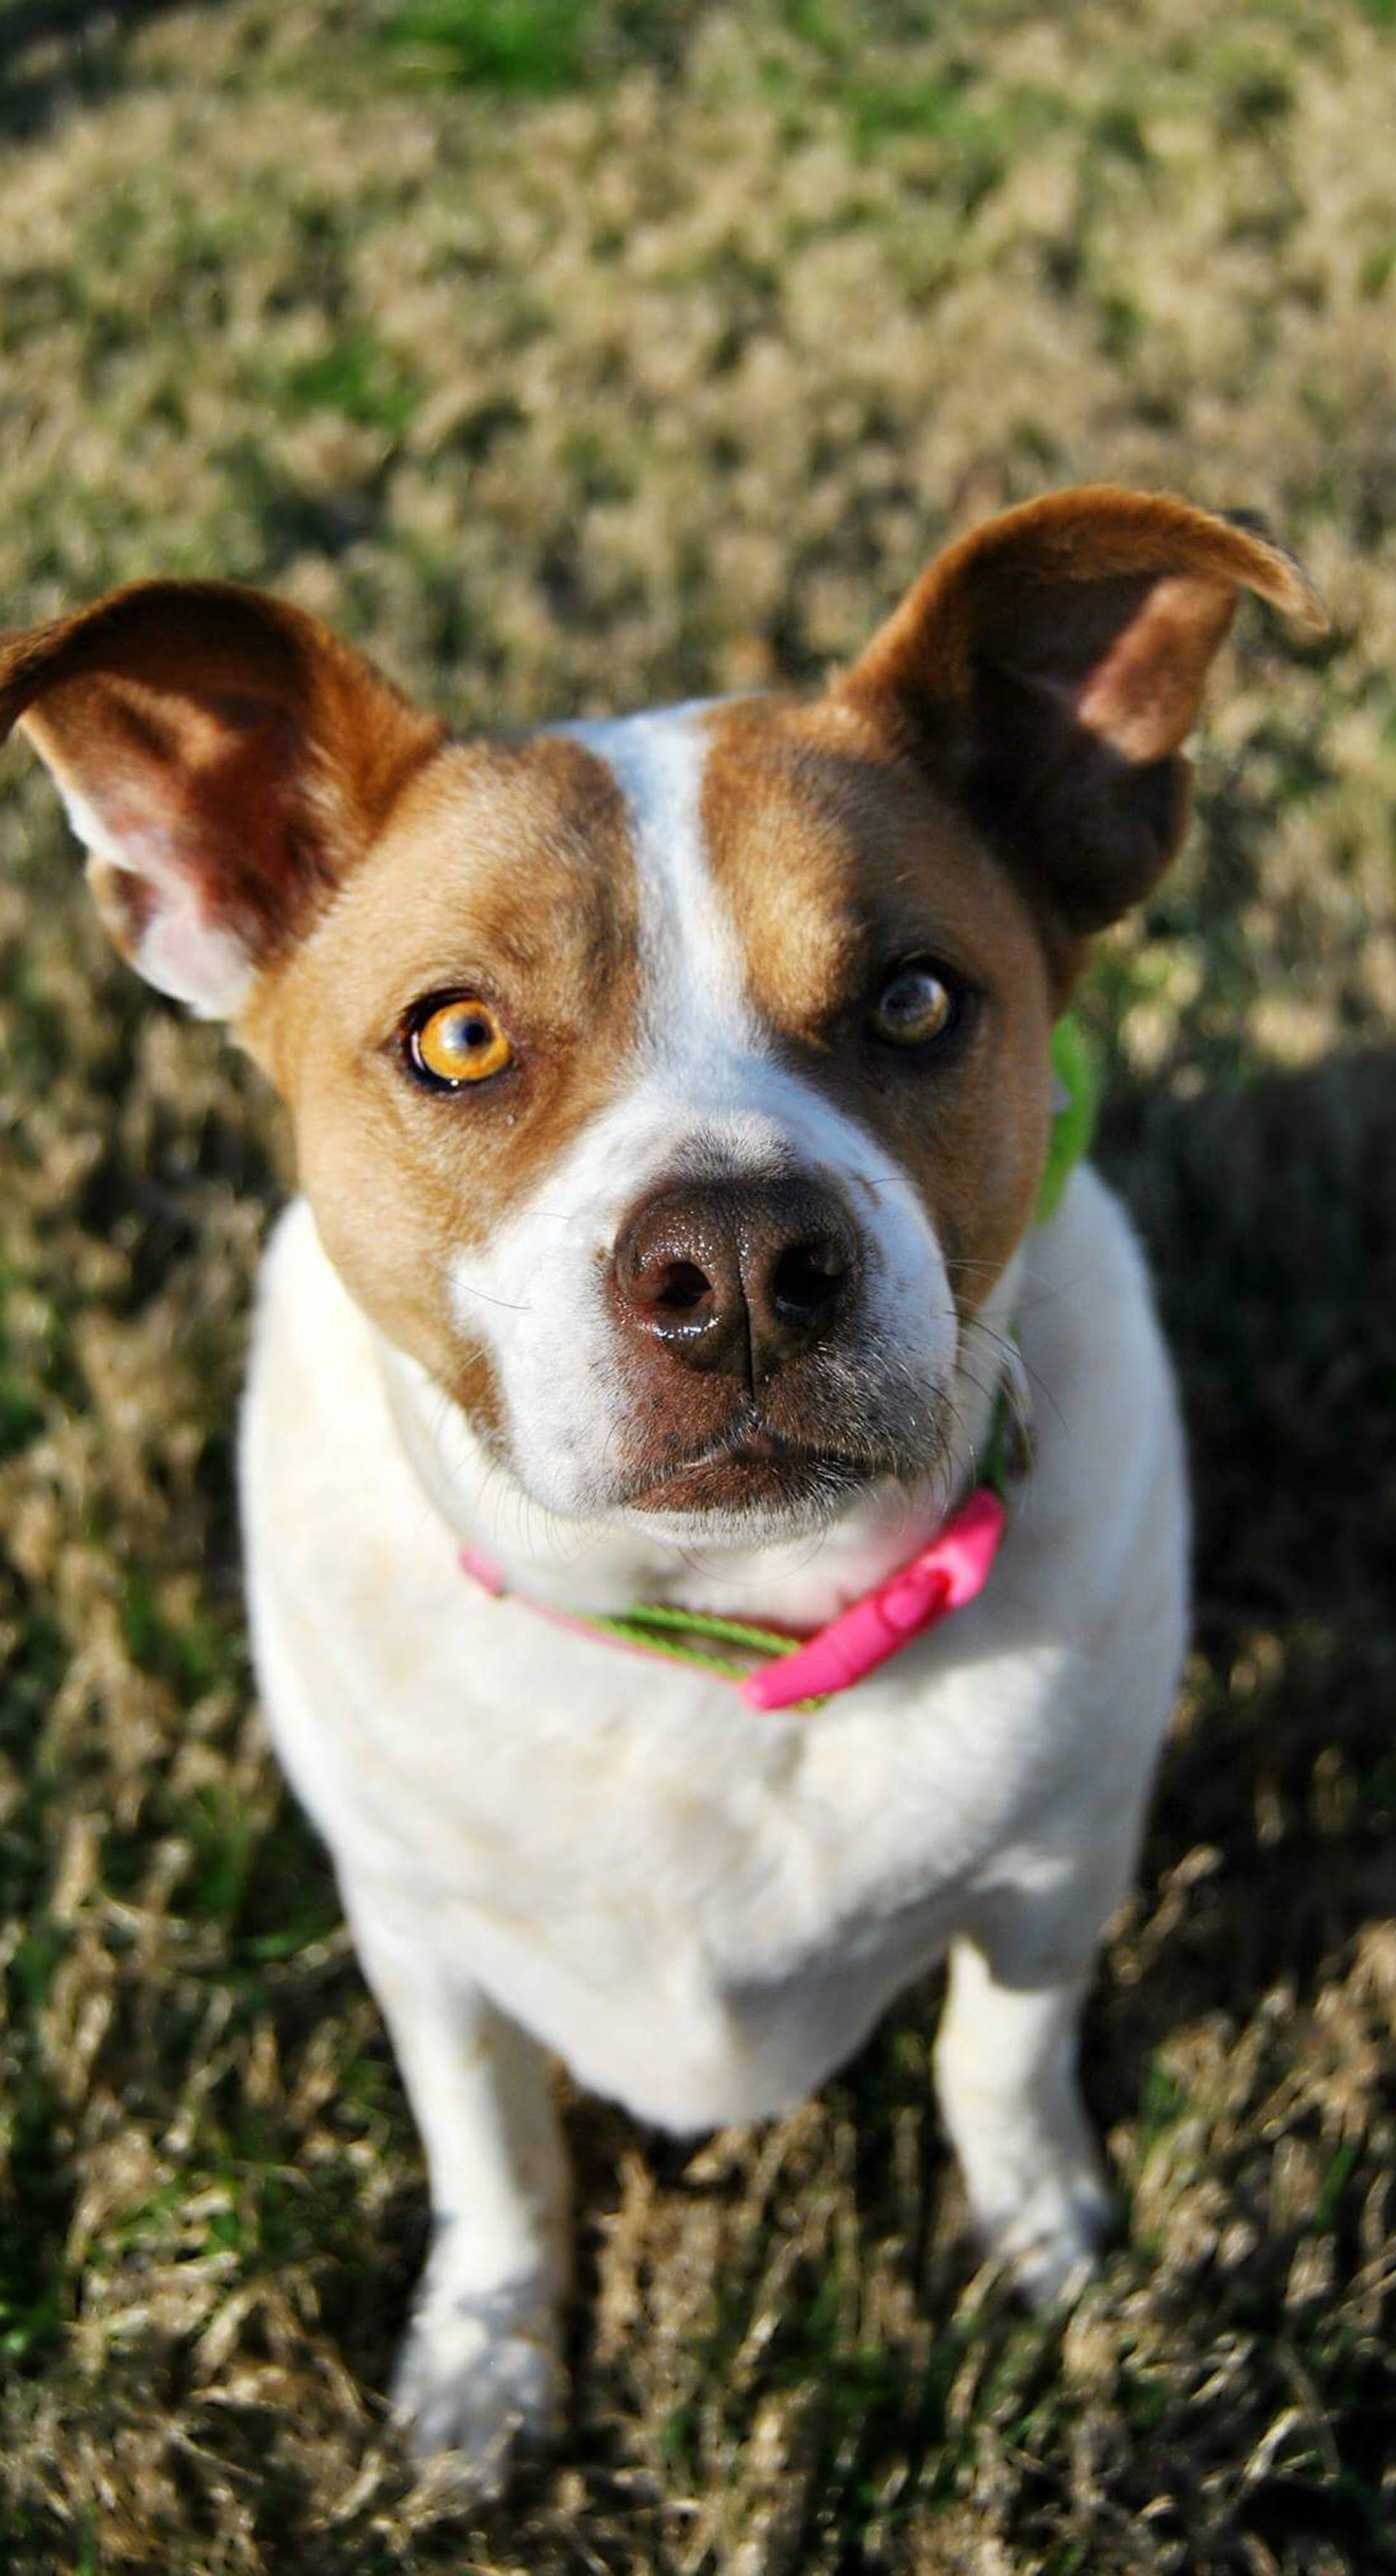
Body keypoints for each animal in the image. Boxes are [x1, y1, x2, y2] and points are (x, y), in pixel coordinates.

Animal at [0, 484, 1328, 2473]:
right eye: (457, 1036)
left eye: (916, 999)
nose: (743, 1261)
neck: (721, 1623)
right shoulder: (420, 1937)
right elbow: (492, 2152)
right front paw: (483, 2361)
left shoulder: (1054, 1873)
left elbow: (997, 2059)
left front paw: (1050, 2243)